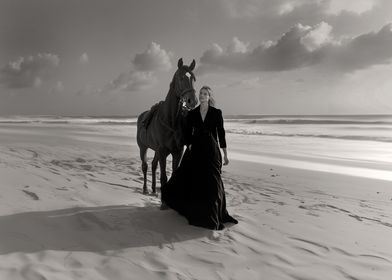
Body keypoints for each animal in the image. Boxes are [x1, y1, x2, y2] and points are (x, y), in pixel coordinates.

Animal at [138, 58, 199, 195]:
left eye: (193, 79)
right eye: (181, 78)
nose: (192, 101)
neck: (170, 121)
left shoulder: (178, 151)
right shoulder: (162, 150)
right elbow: (164, 177)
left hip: (156, 150)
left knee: (153, 165)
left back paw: (154, 189)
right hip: (143, 147)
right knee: (145, 166)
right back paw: (145, 189)